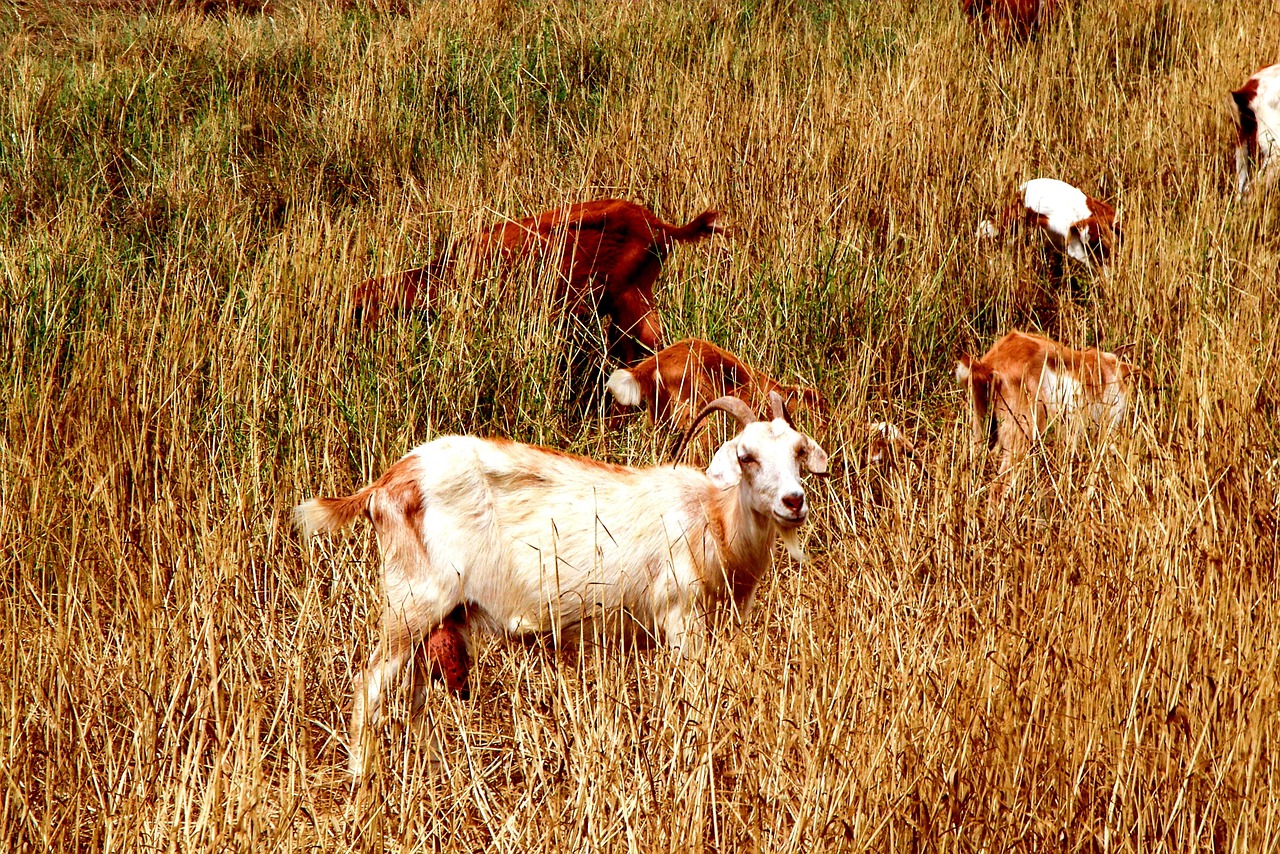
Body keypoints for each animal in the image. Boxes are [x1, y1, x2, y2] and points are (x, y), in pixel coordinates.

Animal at [294, 392, 827, 777]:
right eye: (746, 455)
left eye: (799, 450)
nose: (793, 500)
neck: (712, 519)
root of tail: (385, 485)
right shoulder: (680, 617)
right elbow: (694, 697)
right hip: (410, 605)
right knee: (369, 686)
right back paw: (360, 777)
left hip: (440, 617)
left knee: (415, 694)